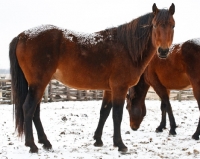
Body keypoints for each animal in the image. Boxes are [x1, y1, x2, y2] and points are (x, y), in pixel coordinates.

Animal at [9, 3, 175, 153]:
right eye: (155, 25)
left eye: (172, 26)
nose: (163, 51)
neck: (127, 48)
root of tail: (22, 35)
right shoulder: (119, 87)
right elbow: (117, 115)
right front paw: (120, 144)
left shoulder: (109, 90)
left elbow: (104, 112)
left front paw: (98, 140)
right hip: (38, 83)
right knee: (28, 108)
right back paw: (32, 145)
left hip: (39, 84)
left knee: (35, 112)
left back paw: (45, 142)